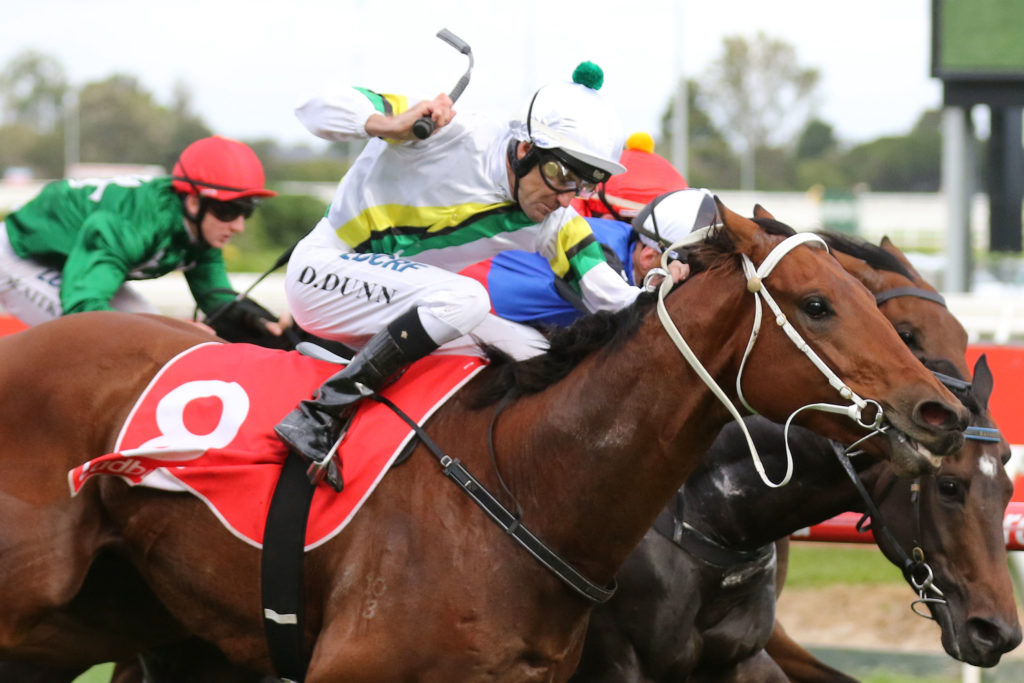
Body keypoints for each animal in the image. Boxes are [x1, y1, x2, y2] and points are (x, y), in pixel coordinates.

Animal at [570, 231, 1020, 681]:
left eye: (1006, 489)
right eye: (949, 487)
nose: (997, 631)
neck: (708, 514)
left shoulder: (747, 652)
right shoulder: (616, 660)